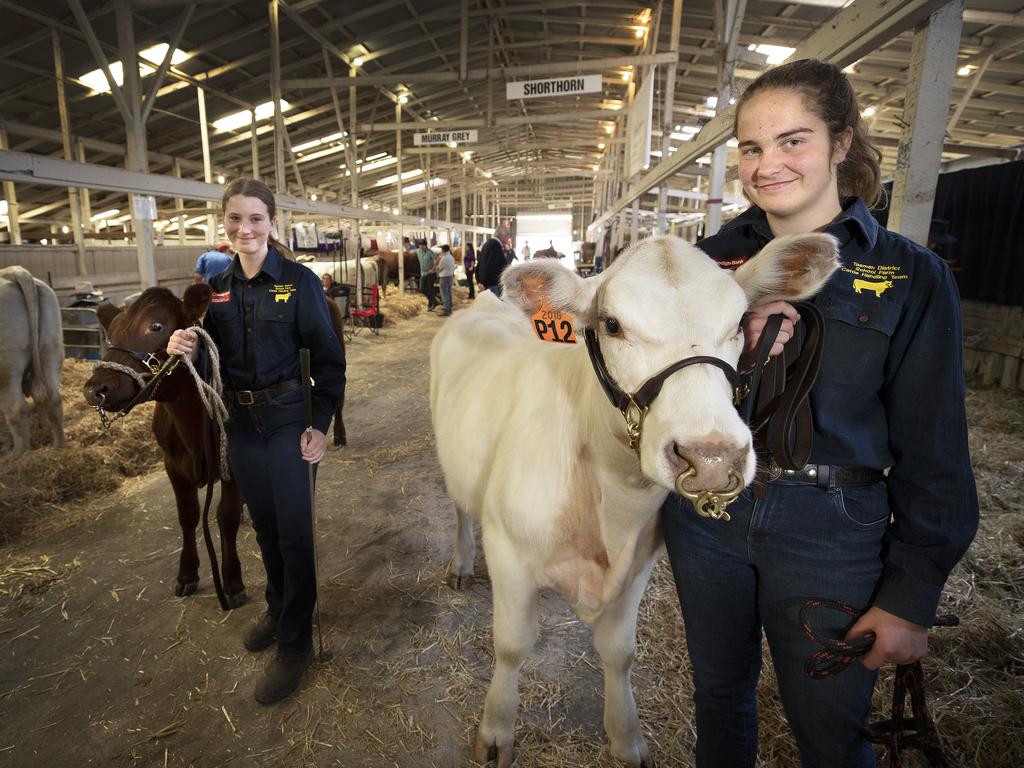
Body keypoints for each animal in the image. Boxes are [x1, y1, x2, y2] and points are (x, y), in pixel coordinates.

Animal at [0, 266, 64, 454]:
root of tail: (14, 271)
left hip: (6, 367)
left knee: (16, 410)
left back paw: (19, 454)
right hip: (50, 350)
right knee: (52, 399)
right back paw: (59, 446)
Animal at [432, 234, 839, 768]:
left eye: (740, 323)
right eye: (611, 324)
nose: (711, 455)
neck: (610, 509)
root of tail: (483, 303)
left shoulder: (641, 559)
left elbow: (619, 652)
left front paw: (626, 739)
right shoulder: (509, 550)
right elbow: (512, 646)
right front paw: (497, 731)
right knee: (460, 508)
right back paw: (460, 564)